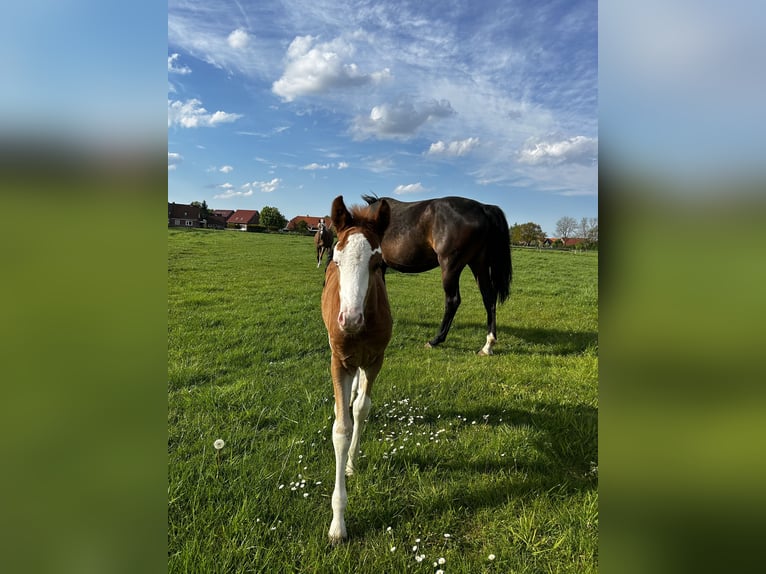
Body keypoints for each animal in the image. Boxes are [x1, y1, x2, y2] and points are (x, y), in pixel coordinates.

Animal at [364, 194, 512, 356]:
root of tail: (482, 208)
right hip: (479, 264)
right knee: (488, 298)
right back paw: (487, 346)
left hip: (450, 266)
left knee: (453, 301)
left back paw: (435, 340)